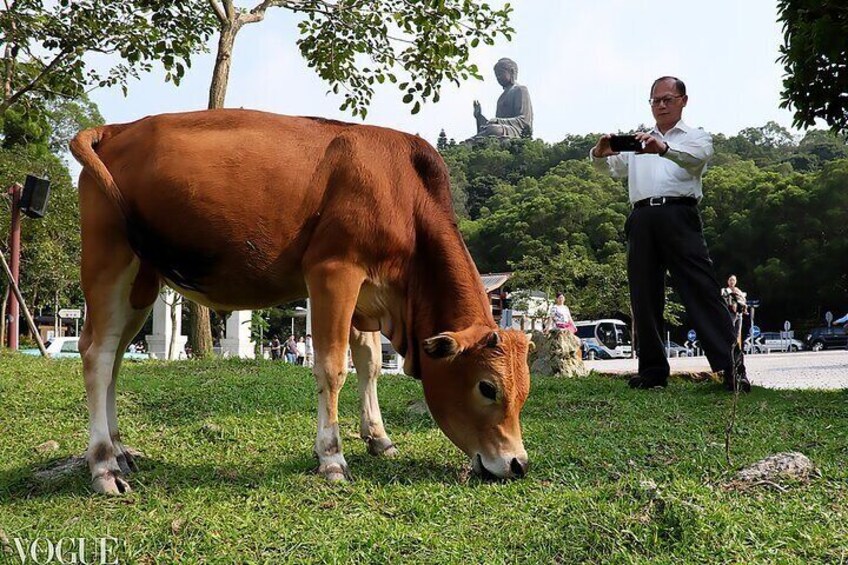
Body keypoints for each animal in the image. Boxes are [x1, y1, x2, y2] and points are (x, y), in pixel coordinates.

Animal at [71, 107, 528, 494]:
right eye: (487, 387)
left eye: (524, 392)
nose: (518, 464)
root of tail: (116, 129)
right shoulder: (333, 271)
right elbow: (332, 367)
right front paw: (332, 458)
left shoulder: (366, 296)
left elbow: (369, 364)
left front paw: (379, 438)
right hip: (109, 259)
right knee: (96, 354)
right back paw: (104, 465)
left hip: (141, 283)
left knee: (115, 357)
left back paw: (121, 450)